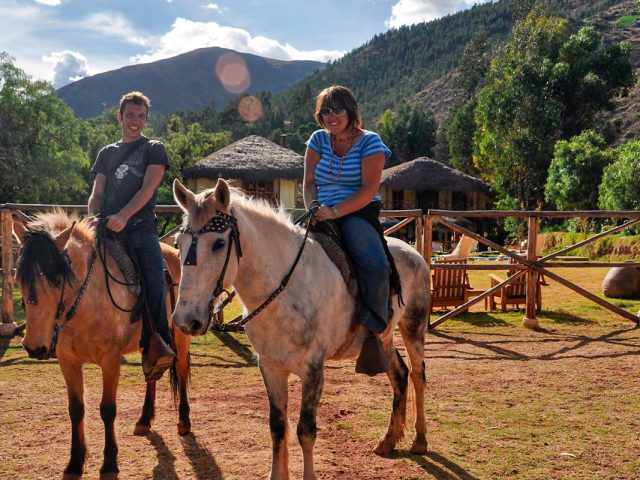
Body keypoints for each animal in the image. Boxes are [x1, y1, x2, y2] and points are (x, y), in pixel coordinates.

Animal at [13, 211, 192, 480]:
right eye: (19, 276)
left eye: (57, 276)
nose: (35, 347)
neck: (87, 301)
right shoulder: (67, 361)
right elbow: (76, 409)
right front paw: (75, 463)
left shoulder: (110, 361)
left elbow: (107, 409)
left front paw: (109, 464)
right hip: (148, 346)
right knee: (151, 376)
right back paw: (144, 420)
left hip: (181, 337)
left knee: (180, 372)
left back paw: (183, 421)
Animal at [171, 178, 430, 480]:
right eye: (178, 243)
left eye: (219, 243)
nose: (186, 319)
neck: (286, 289)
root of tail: (412, 251)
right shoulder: (270, 367)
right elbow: (277, 427)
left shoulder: (312, 369)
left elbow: (306, 430)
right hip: (384, 339)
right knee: (399, 375)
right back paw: (388, 440)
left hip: (413, 326)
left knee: (418, 375)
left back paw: (420, 439)